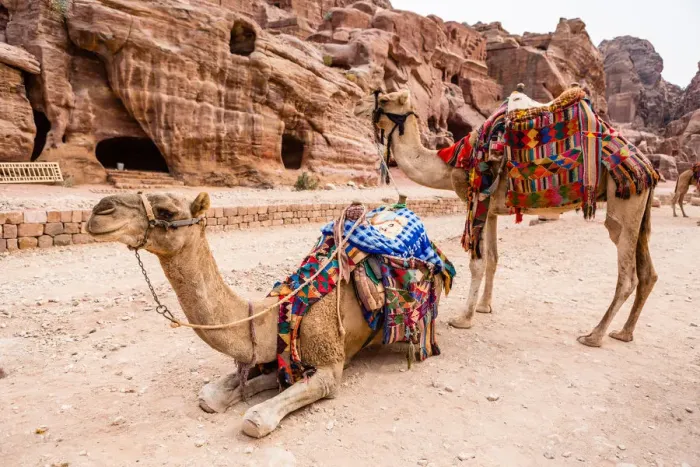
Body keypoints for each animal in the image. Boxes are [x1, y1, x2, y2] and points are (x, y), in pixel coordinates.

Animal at [87, 192, 444, 438]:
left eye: (166, 211)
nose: (100, 210)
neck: (276, 315)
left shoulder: (330, 364)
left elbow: (255, 419)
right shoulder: (276, 353)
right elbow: (213, 394)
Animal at [369, 88, 657, 347]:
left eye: (384, 100)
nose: (367, 112)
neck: (452, 163)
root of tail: (647, 168)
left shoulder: (478, 199)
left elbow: (477, 263)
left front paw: (463, 318)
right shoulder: (492, 210)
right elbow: (493, 259)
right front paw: (484, 307)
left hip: (623, 204)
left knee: (627, 276)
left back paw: (593, 336)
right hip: (639, 209)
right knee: (648, 274)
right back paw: (624, 333)